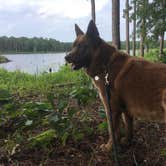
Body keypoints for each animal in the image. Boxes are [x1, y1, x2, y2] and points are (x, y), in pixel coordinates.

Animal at [64, 20, 166, 151]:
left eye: (81, 46)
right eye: (73, 46)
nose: (66, 57)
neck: (105, 64)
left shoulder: (112, 109)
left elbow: (112, 130)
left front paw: (109, 147)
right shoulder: (126, 110)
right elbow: (128, 127)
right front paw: (127, 141)